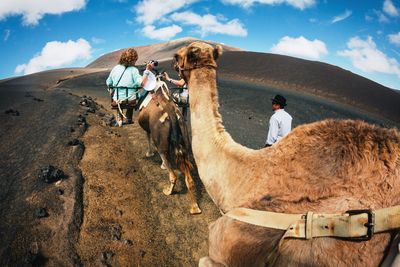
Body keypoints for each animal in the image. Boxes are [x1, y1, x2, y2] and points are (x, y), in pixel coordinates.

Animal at [138, 82, 202, 215]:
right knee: (189, 178)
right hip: (185, 142)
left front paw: (149, 153)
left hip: (161, 142)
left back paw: (168, 191)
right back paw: (194, 208)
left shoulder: (148, 129)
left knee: (172, 174)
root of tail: (172, 114)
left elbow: (148, 137)